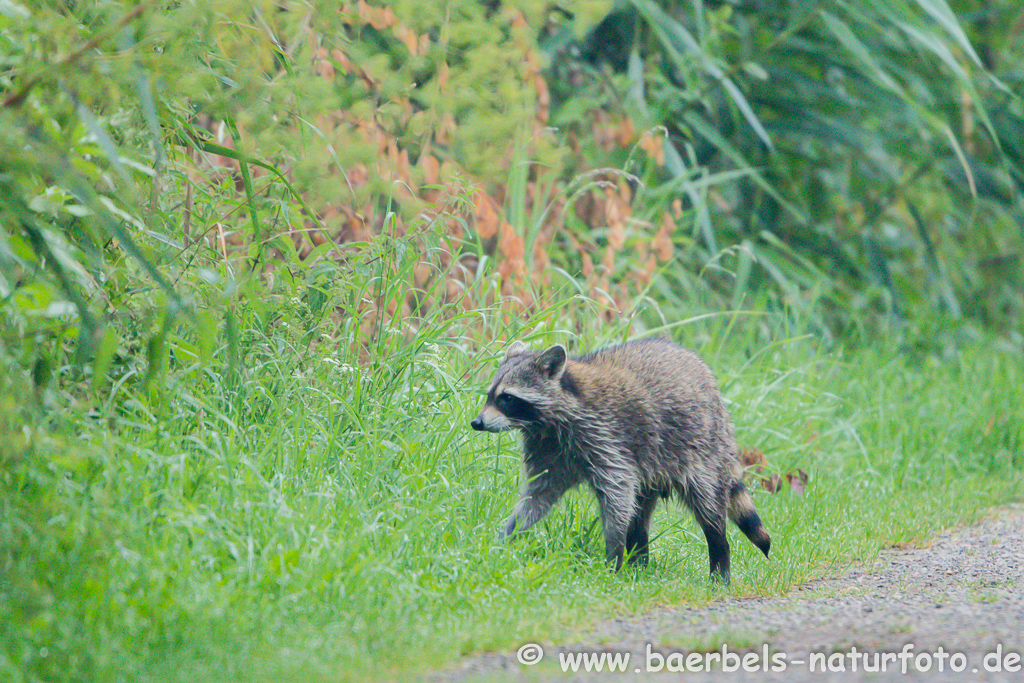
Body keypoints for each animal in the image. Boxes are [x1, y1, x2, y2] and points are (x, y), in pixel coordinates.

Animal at [471, 335, 770, 581]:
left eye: (507, 398)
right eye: (490, 395)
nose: (477, 422)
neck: (547, 421)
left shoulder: (606, 437)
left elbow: (617, 493)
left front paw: (613, 554)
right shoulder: (549, 448)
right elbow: (539, 494)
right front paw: (508, 534)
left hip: (701, 447)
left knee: (706, 502)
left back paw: (719, 557)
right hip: (652, 467)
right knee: (639, 512)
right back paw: (639, 561)